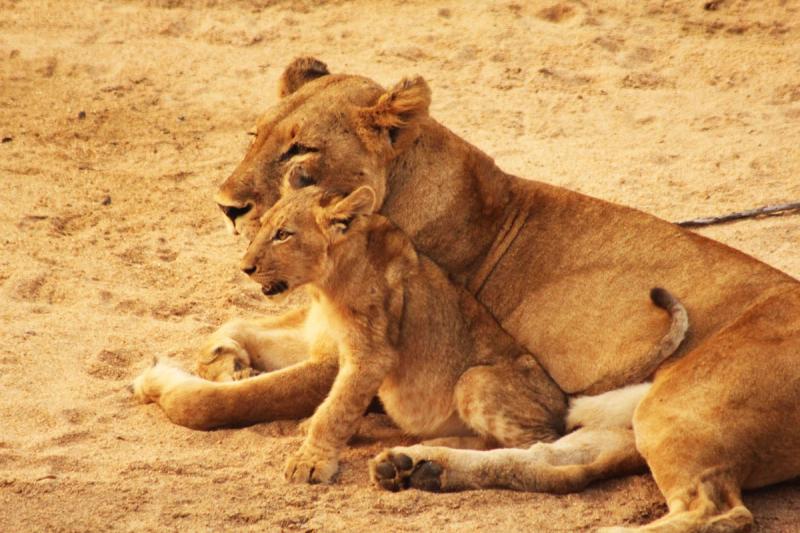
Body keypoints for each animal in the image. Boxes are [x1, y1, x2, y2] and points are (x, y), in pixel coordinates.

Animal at [133, 57, 800, 531]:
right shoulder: (320, 327)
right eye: (255, 136)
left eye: (301, 150)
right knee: (559, 465)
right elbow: (238, 329)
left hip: (678, 405)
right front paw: (223, 358)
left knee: (719, 512)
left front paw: (172, 381)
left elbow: (222, 404)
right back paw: (419, 466)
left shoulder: (361, 358)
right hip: (625, 418)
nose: (225, 207)